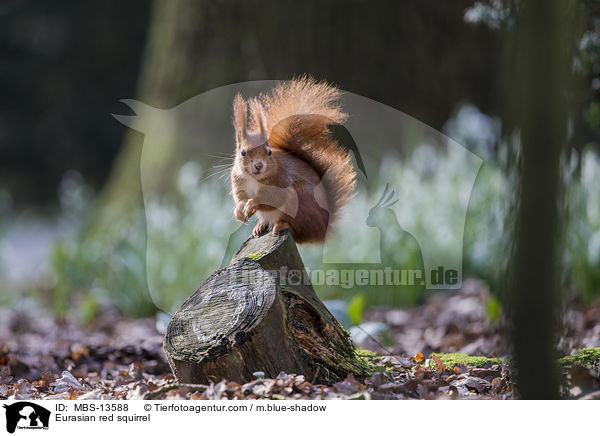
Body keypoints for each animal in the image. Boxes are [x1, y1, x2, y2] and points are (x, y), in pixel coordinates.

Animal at [231, 76, 356, 244]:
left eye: (269, 152)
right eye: (243, 152)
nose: (258, 165)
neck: (254, 179)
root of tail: (324, 227)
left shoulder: (279, 180)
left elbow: (273, 198)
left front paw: (251, 204)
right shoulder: (238, 180)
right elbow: (239, 196)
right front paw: (239, 209)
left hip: (300, 203)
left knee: (300, 234)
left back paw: (283, 225)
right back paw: (260, 226)